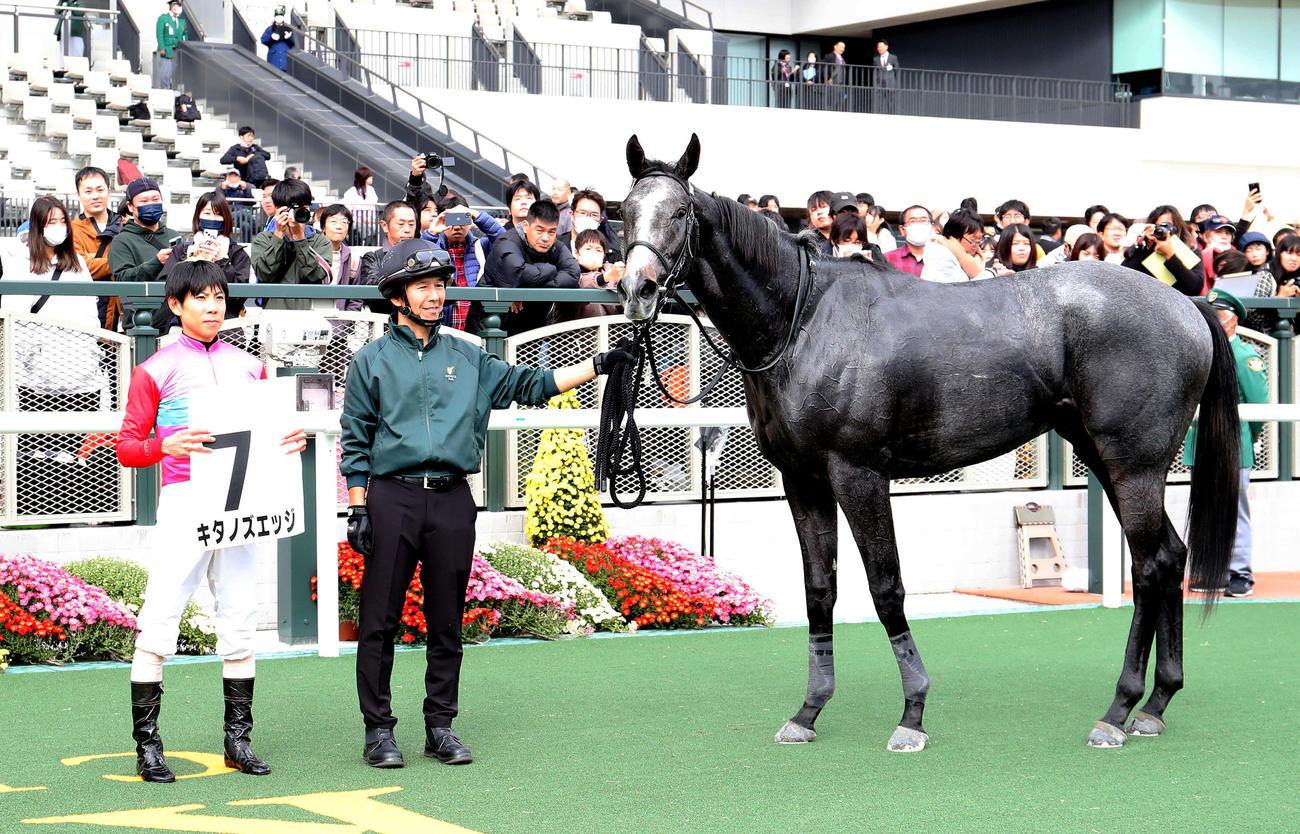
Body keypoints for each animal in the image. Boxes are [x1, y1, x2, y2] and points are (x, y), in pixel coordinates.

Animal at [616, 134, 1240, 751]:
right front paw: (809, 711)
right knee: (1170, 556)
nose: (636, 289)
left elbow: (885, 586)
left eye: (680, 211)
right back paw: (1156, 703)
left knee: (1150, 566)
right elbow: (819, 589)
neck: (805, 319)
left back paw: (1118, 709)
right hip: (1105, 457)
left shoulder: (858, 475)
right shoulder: (803, 480)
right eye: (626, 210)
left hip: (1133, 465)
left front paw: (912, 713)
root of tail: (1186, 304)